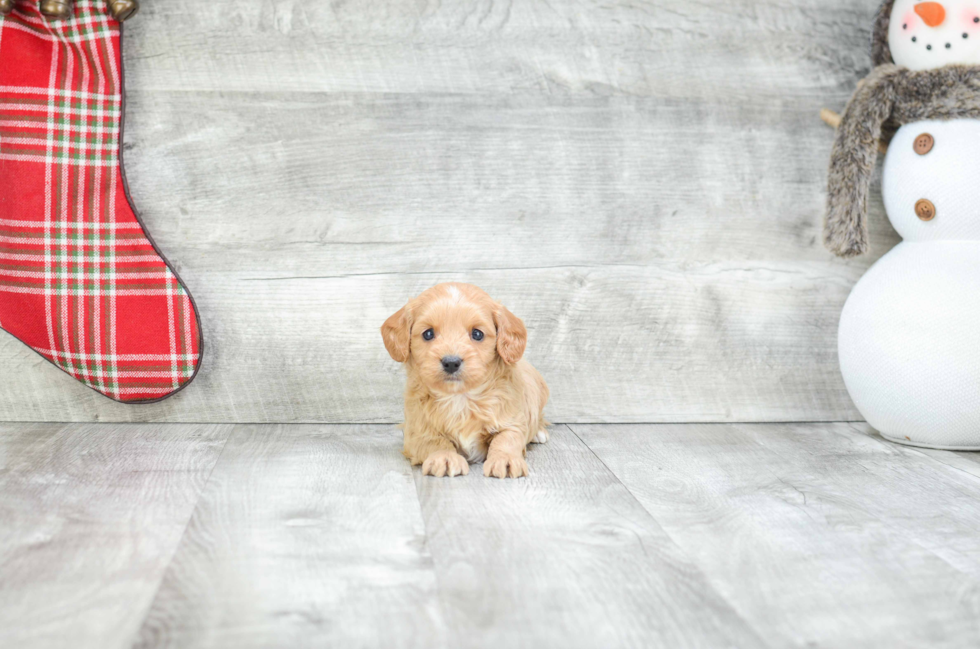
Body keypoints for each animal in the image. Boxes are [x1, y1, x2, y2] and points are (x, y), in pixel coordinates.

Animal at [382, 282, 552, 476]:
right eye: (428, 334)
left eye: (477, 334)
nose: (451, 363)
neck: (461, 398)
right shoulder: (417, 431)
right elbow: (434, 441)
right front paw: (445, 457)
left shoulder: (512, 419)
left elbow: (506, 439)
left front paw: (505, 459)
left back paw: (539, 432)